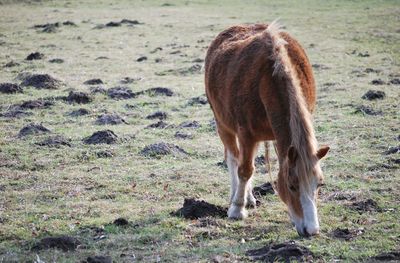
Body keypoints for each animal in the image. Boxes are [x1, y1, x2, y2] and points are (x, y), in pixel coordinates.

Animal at [205, 22, 330, 237]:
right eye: (291, 185)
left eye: (319, 184)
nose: (312, 231)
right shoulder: (246, 135)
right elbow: (244, 170)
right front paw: (237, 209)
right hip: (223, 125)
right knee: (233, 159)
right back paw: (236, 196)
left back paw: (249, 198)